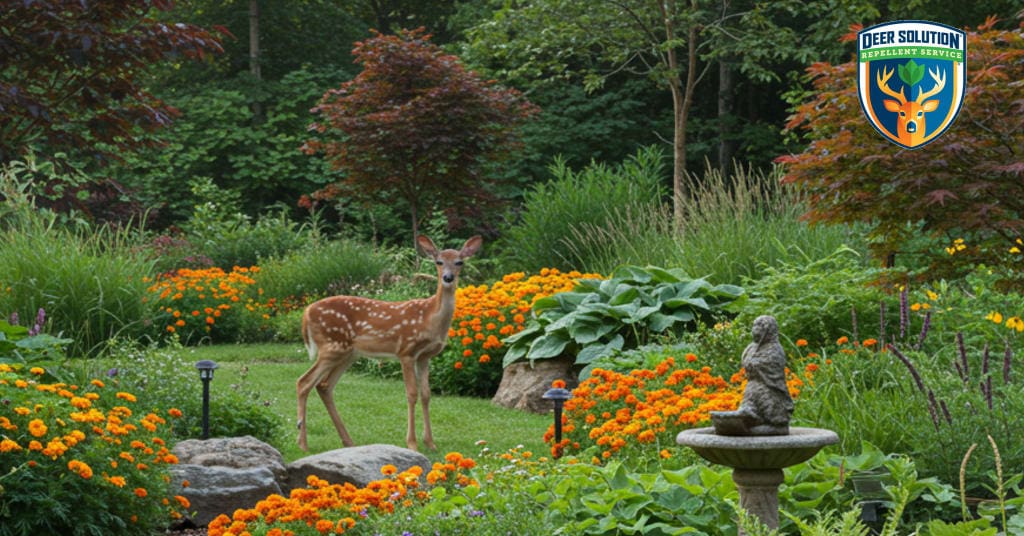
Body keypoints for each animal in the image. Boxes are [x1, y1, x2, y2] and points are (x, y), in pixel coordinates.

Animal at [296, 234, 482, 452]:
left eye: (459, 262)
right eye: (439, 262)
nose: (448, 277)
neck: (430, 318)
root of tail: (306, 312)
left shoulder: (425, 357)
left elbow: (426, 394)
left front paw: (430, 443)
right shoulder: (406, 350)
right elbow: (411, 393)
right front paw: (412, 443)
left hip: (348, 353)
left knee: (324, 386)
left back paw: (348, 442)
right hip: (331, 346)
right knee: (304, 382)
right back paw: (303, 444)